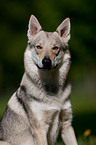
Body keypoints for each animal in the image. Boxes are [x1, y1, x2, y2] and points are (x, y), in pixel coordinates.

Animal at [0, 15, 77, 145]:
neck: (52, 88)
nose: (46, 61)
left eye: (55, 48)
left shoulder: (67, 125)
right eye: (39, 47)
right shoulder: (40, 129)